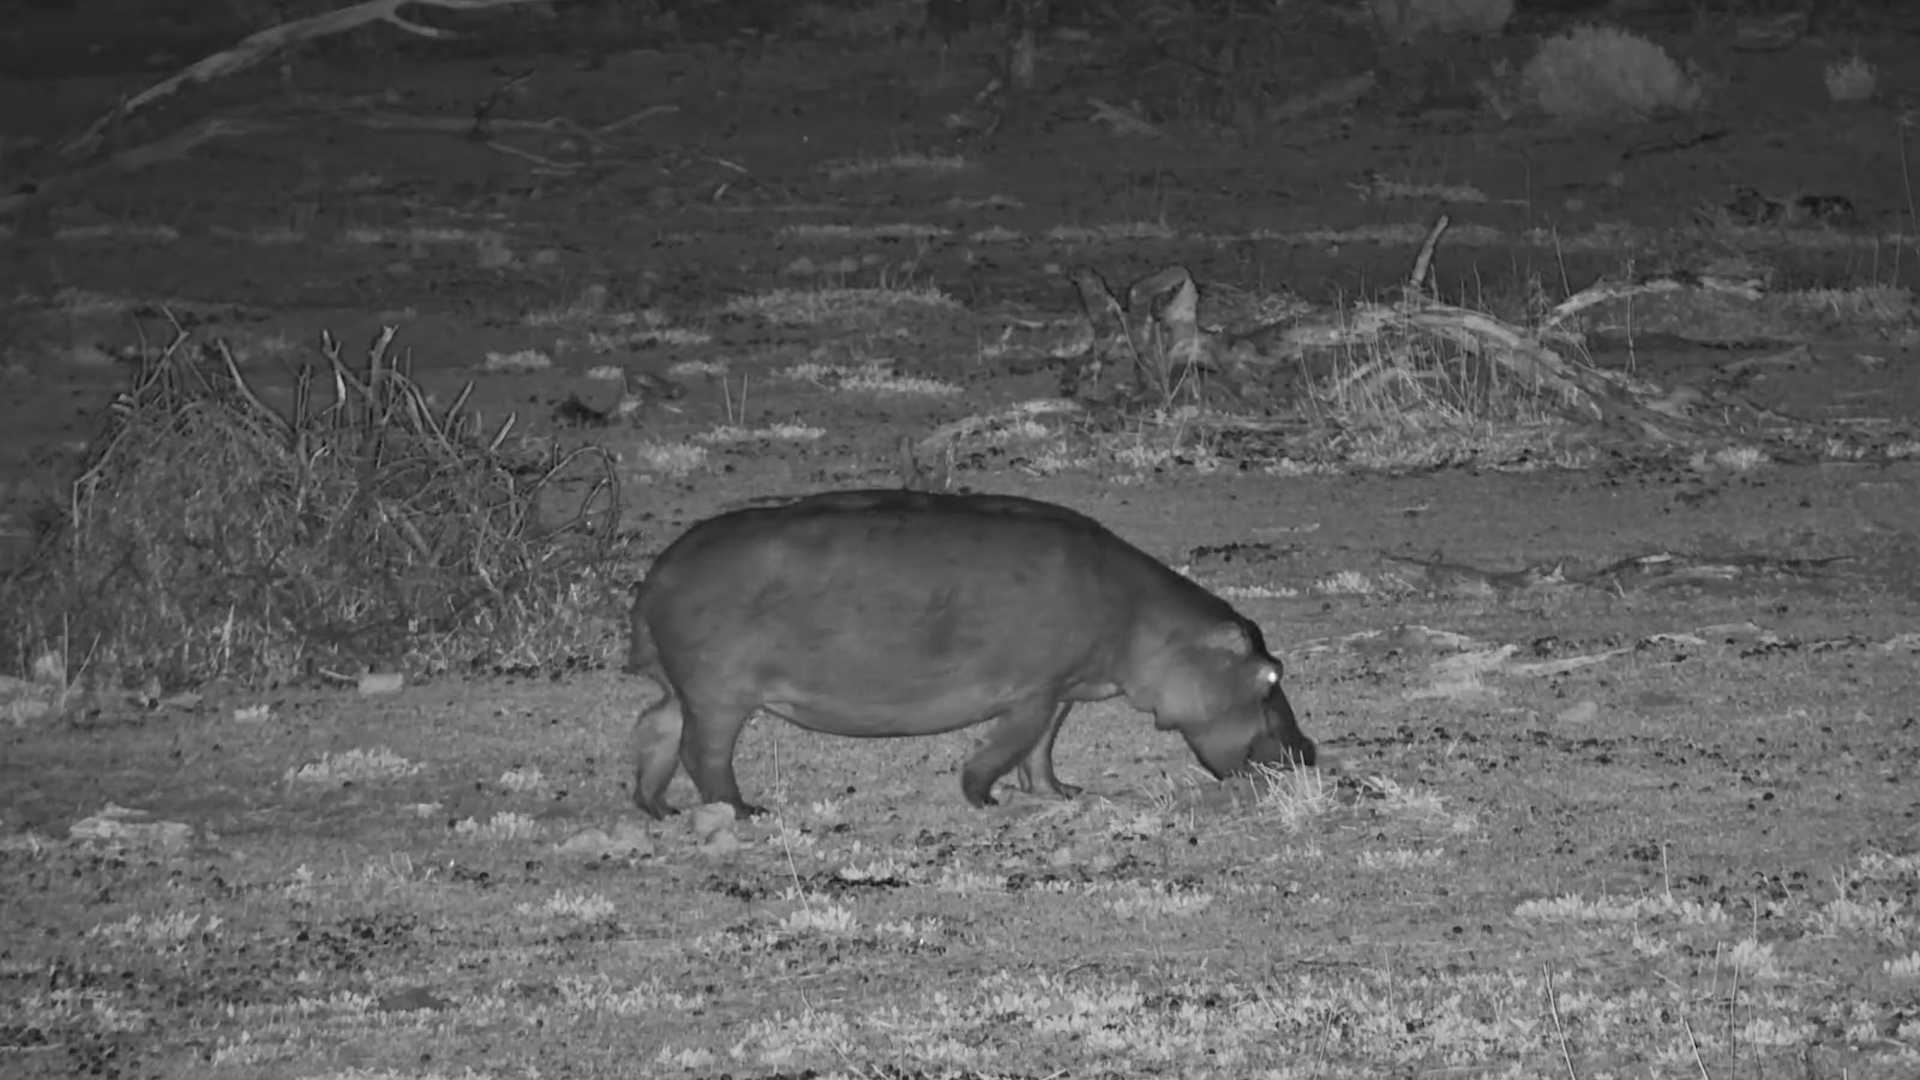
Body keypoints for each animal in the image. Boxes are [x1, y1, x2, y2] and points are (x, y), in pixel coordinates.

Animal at [625, 489, 1315, 819]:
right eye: (1270, 673)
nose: (1309, 752)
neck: (1150, 622)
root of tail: (657, 575)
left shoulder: (1063, 689)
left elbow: (1041, 752)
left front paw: (1063, 793)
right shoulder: (1033, 692)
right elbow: (1007, 747)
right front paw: (985, 799)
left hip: (684, 689)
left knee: (655, 727)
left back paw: (660, 808)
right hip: (721, 696)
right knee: (703, 753)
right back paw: (745, 812)